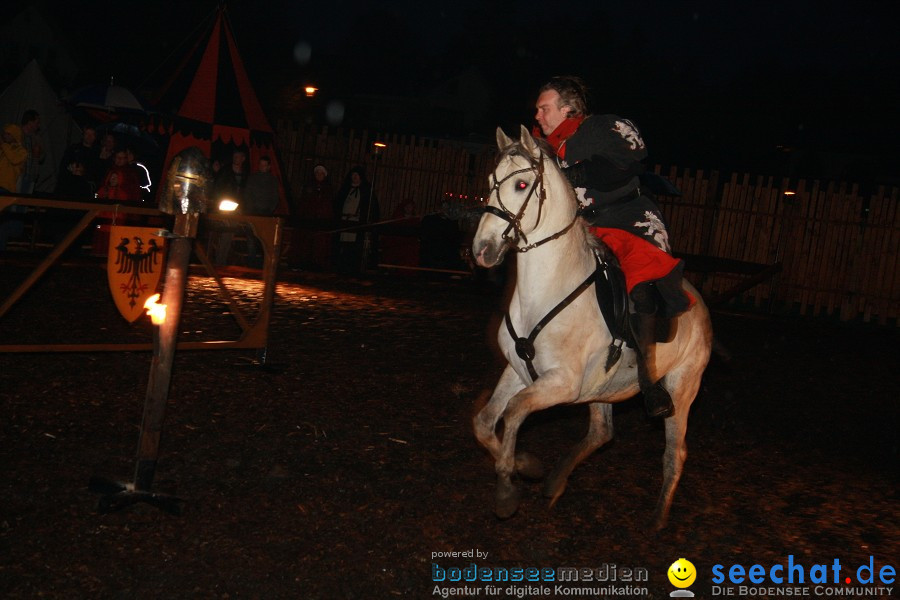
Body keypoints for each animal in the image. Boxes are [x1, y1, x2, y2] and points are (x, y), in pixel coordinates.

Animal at [472, 124, 712, 528]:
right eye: (490, 181)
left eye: (521, 185)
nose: (482, 250)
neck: (547, 289)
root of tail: (700, 305)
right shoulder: (519, 370)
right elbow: (486, 420)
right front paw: (526, 465)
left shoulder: (562, 384)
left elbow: (515, 411)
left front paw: (507, 488)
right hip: (603, 388)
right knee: (602, 433)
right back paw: (555, 481)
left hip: (682, 388)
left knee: (674, 453)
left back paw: (658, 518)